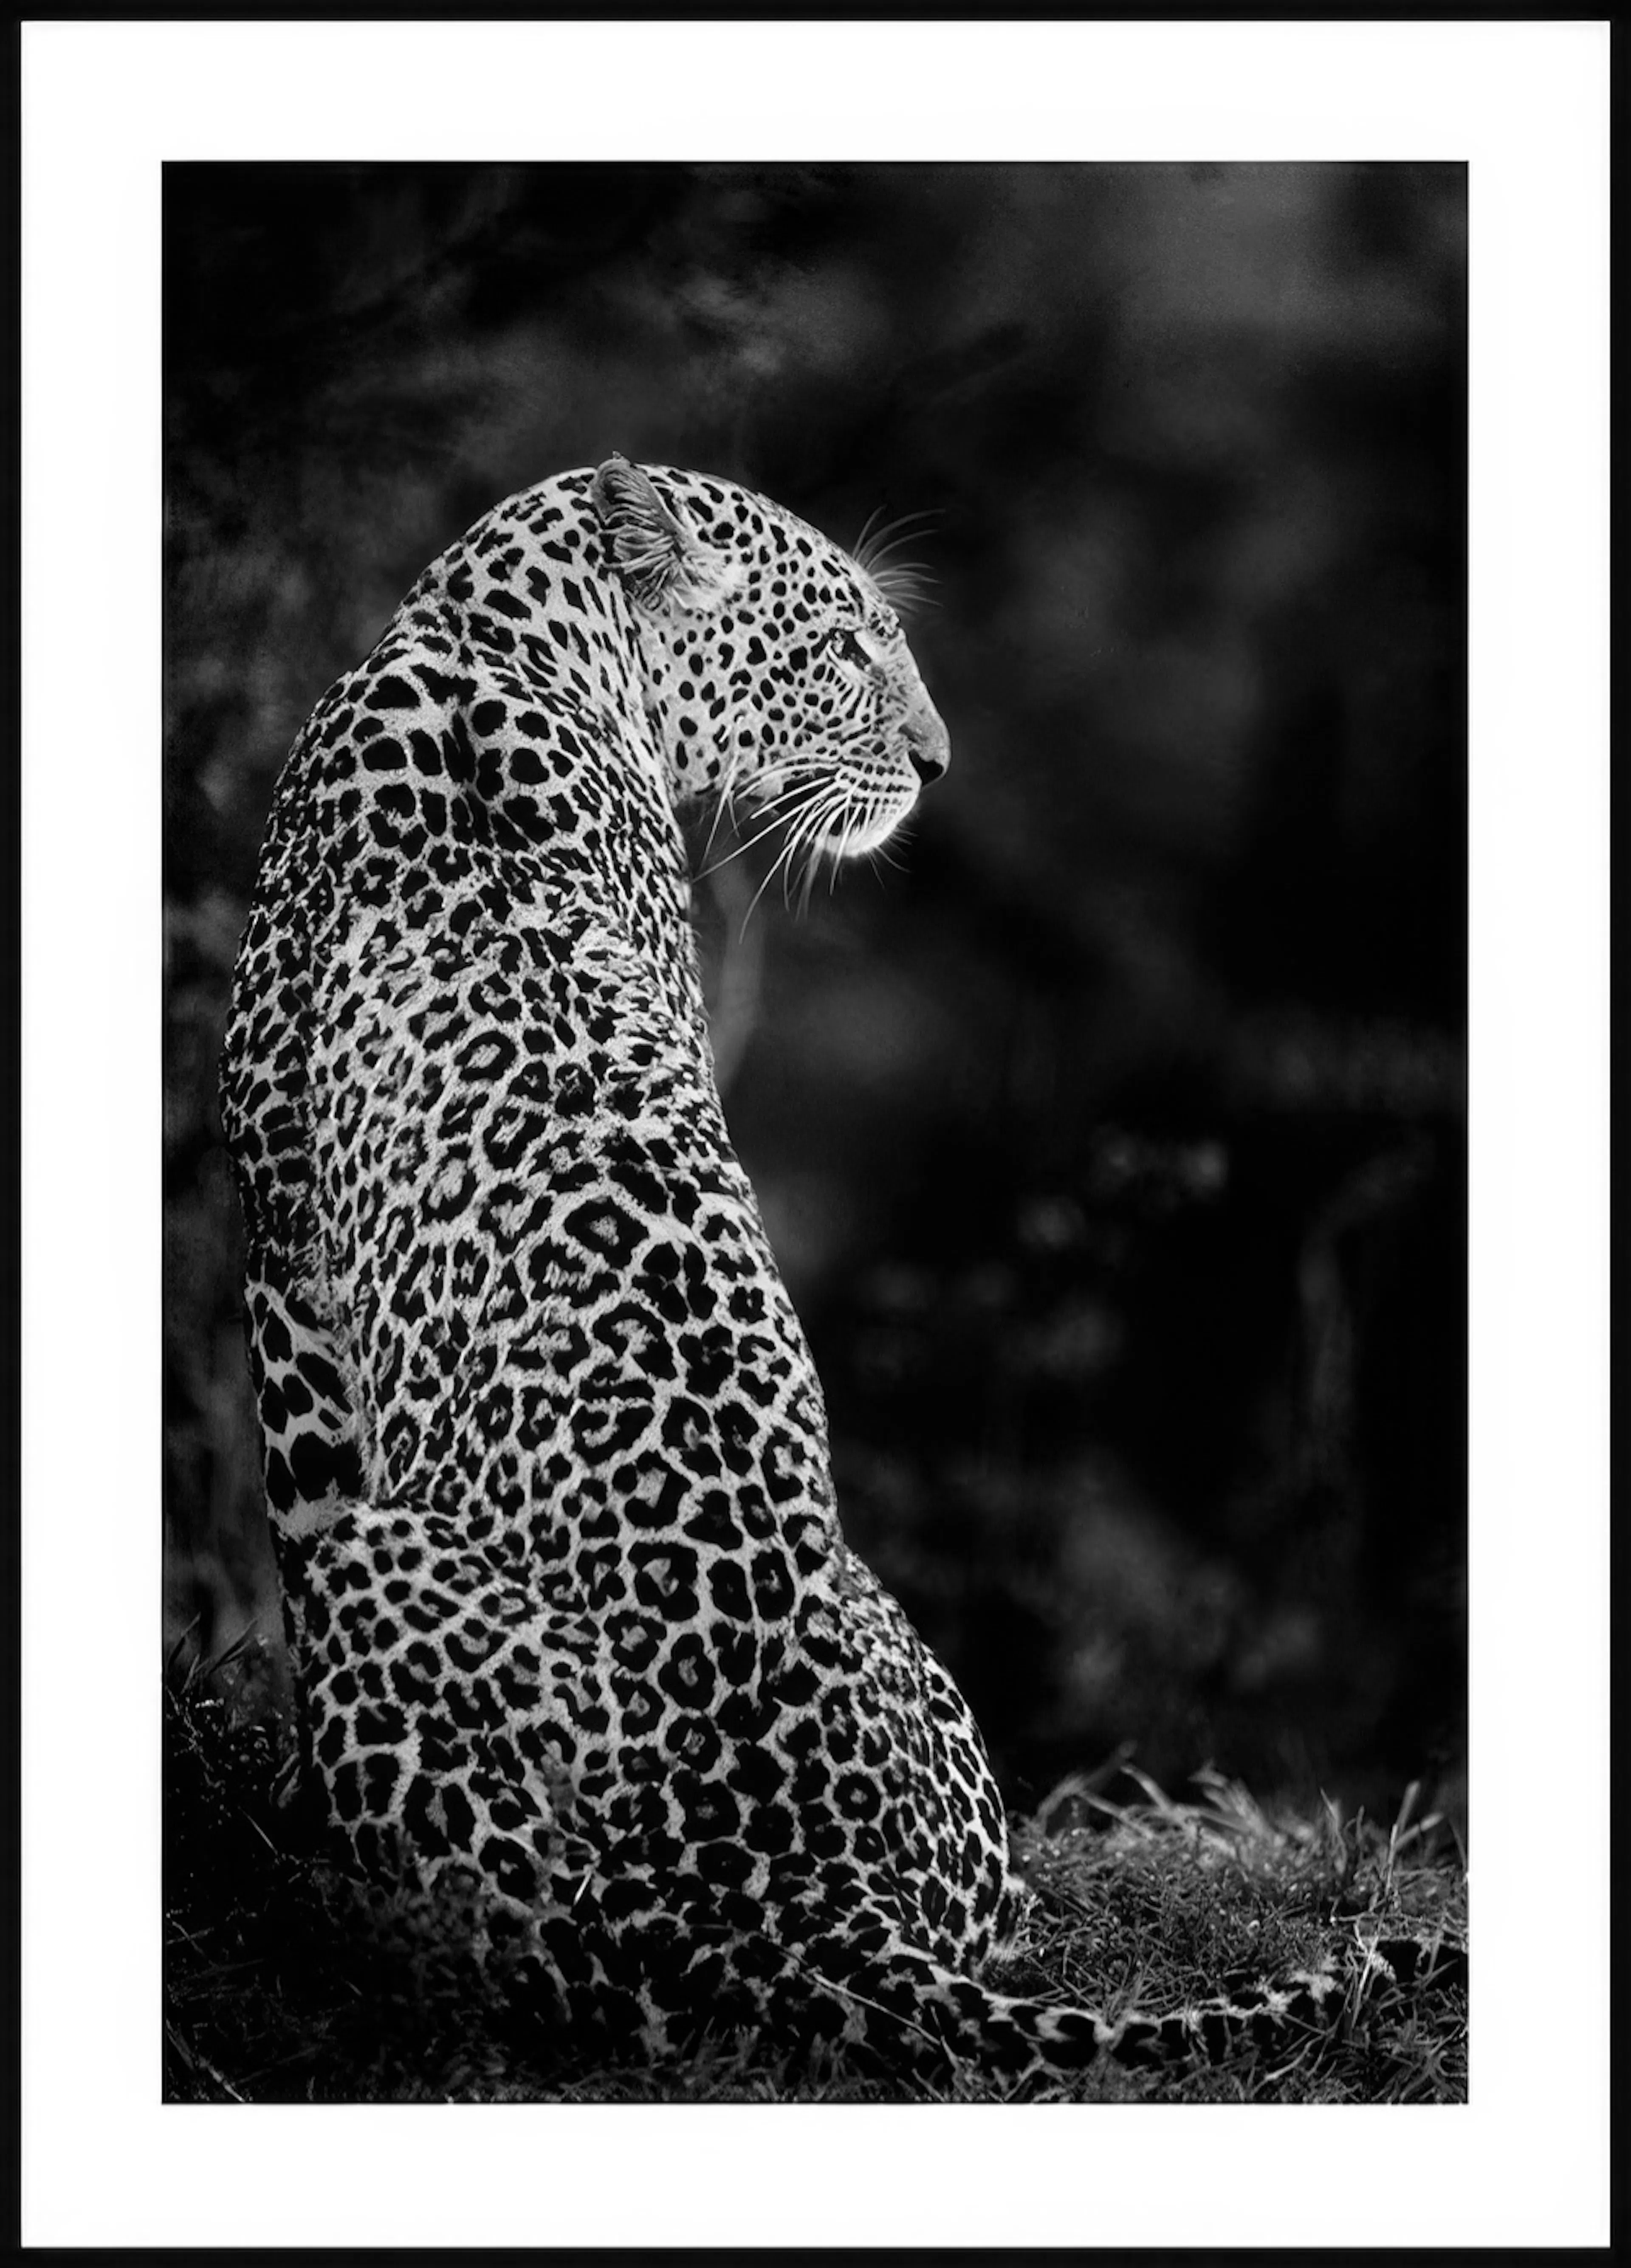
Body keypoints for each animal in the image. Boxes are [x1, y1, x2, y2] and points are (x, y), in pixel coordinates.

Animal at [219, 456, 1462, 2091]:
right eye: (842, 648)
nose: (939, 764)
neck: (492, 639)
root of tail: (817, 1902)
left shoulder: (281, 1246)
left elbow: (295, 1508)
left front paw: (287, 1794)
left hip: (414, 1616)